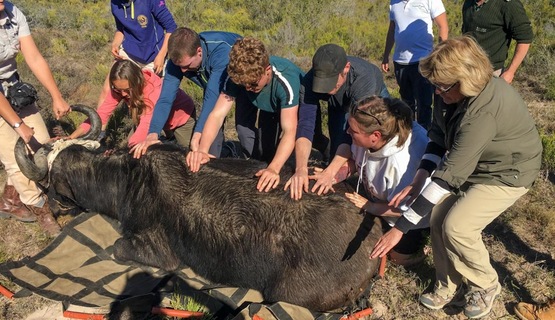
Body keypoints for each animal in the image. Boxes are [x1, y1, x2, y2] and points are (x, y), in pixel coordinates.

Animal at [15, 106, 384, 312]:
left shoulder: (157, 253)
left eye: (52, 180)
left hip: (284, 294)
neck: (126, 178)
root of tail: (372, 245)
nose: (53, 205)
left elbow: (117, 247)